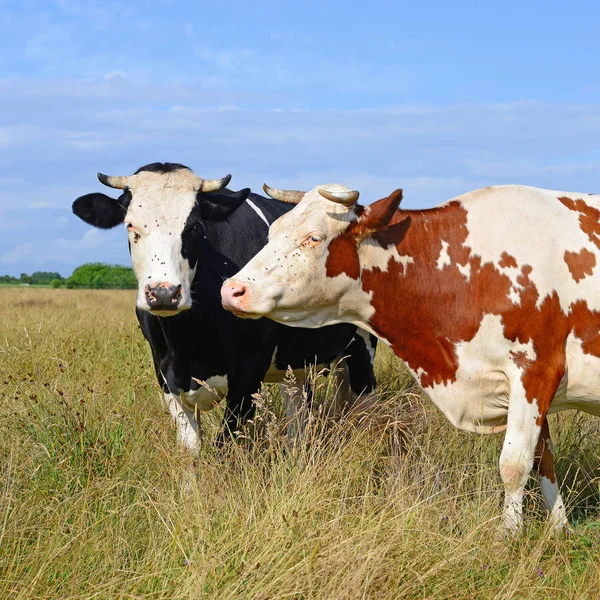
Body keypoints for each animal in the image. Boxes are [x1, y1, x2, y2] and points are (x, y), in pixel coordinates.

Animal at [71, 162, 376, 448]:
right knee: (300, 411)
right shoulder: (165, 373)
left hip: (363, 344)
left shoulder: (248, 372)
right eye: (130, 225)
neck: (186, 343)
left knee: (363, 397)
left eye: (194, 226)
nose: (164, 293)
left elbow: (225, 444)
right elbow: (190, 449)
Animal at [223, 183, 600, 536]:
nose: (232, 289)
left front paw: (507, 537)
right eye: (273, 231)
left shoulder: (535, 370)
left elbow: (514, 465)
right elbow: (543, 458)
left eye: (314, 238)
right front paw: (559, 528)